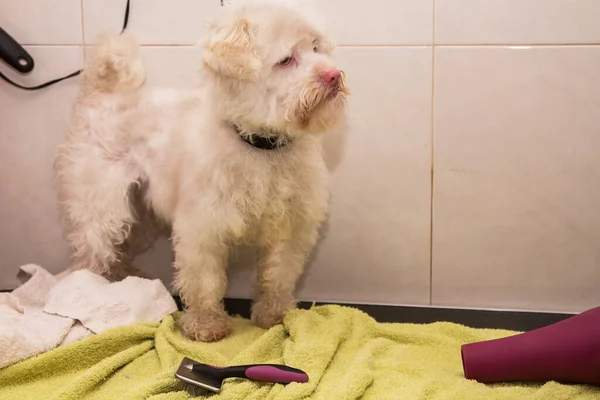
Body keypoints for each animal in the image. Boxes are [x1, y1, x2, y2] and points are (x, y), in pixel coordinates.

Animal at [55, 0, 350, 340]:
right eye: (286, 59)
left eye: (316, 48)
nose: (333, 75)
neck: (261, 146)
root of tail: (101, 92)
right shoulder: (202, 229)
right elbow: (204, 282)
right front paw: (206, 326)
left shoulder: (291, 228)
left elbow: (278, 276)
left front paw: (273, 315)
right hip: (101, 210)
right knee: (90, 256)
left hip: (139, 217)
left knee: (118, 252)